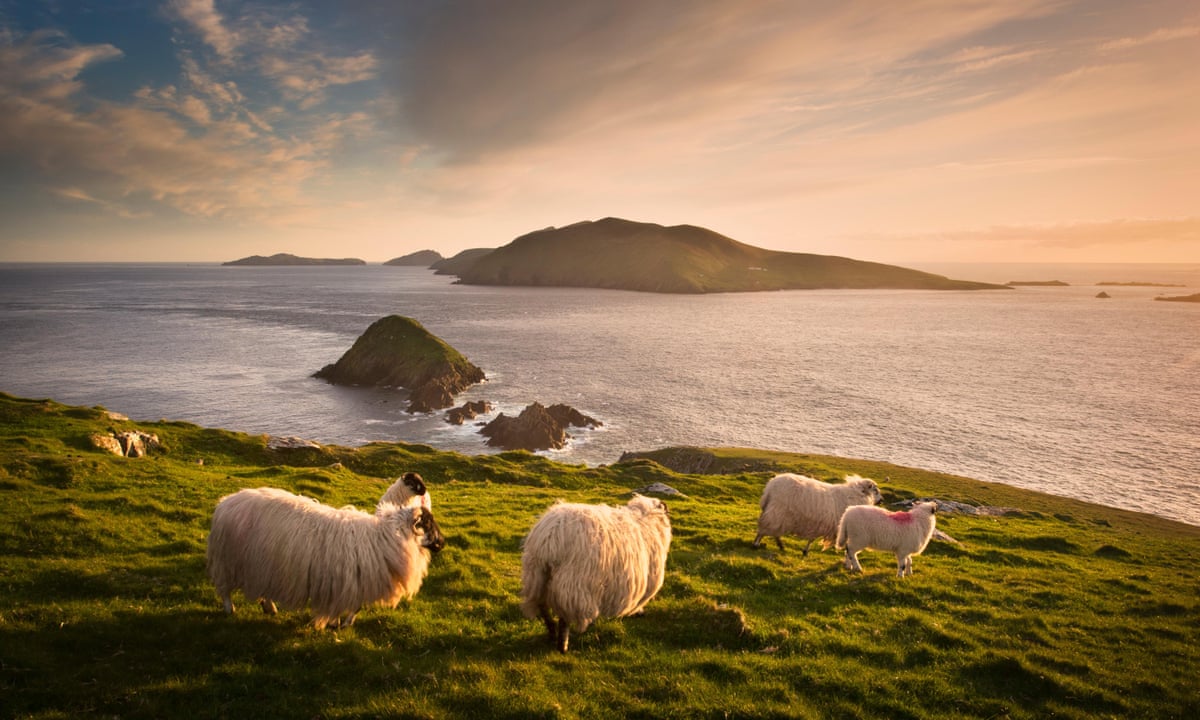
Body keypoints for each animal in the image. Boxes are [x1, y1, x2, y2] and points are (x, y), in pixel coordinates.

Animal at [206, 484, 446, 628]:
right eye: (428, 524)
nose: (443, 543)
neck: (386, 537)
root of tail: (226, 502)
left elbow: (355, 606)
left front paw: (340, 622)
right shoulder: (350, 581)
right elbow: (355, 607)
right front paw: (340, 623)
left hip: (261, 564)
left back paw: (269, 607)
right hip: (229, 560)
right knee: (225, 590)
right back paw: (230, 609)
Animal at [520, 494, 676, 652]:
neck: (649, 520)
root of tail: (550, 537)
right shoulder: (647, 576)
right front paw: (638, 611)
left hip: (537, 576)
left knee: (542, 606)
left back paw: (552, 631)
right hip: (573, 582)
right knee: (564, 617)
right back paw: (562, 645)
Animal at [753, 475, 888, 554]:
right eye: (875, 490)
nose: (882, 500)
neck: (857, 495)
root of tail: (770, 486)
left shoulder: (820, 524)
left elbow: (811, 539)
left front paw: (806, 550)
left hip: (778, 515)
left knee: (772, 530)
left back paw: (779, 545)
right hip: (778, 513)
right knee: (765, 529)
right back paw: (757, 544)